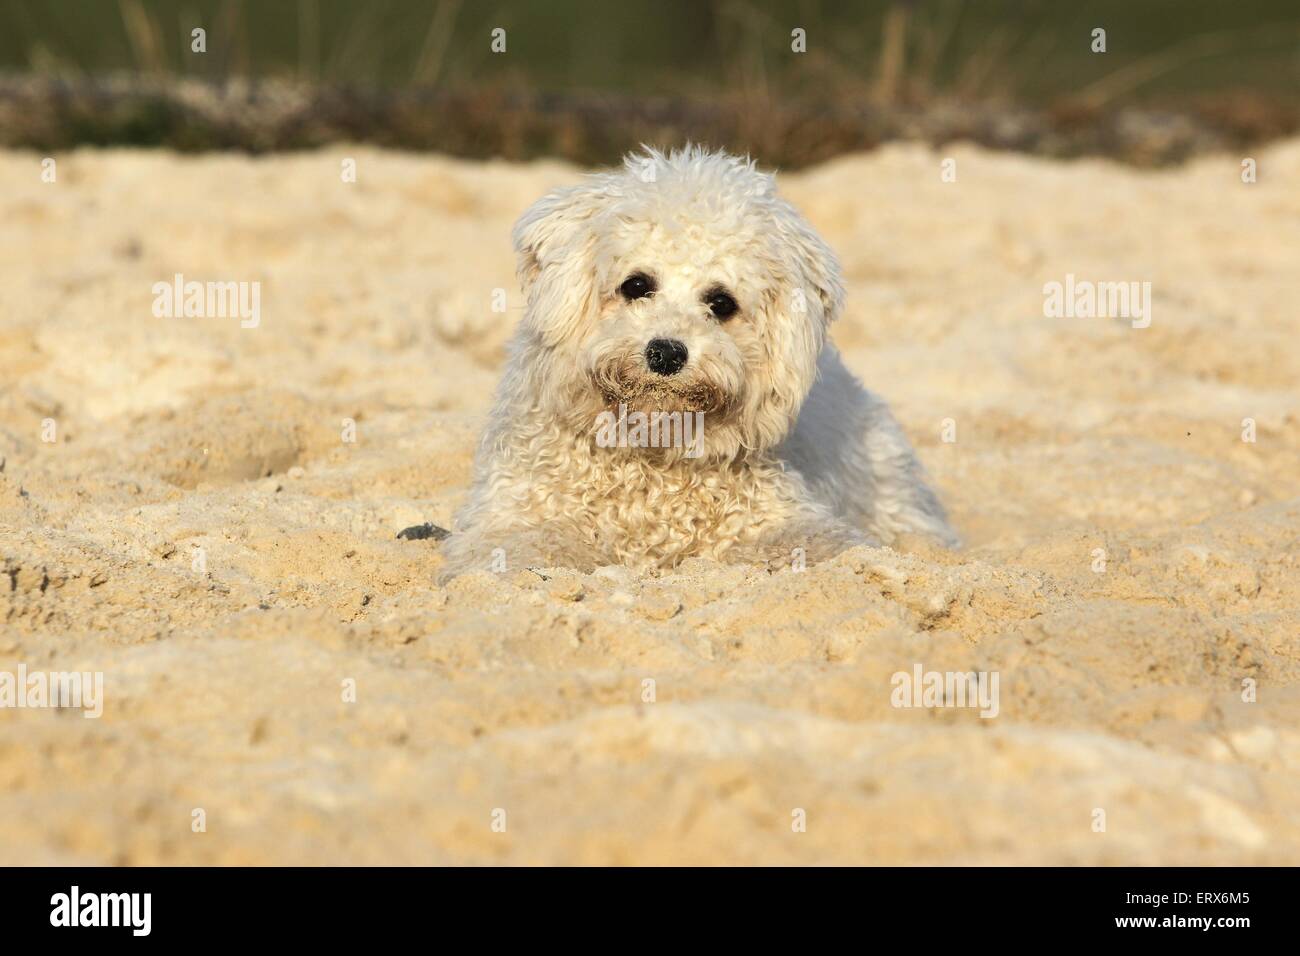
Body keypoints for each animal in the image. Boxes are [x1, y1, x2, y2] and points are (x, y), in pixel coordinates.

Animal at [441, 145, 961, 580]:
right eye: (636, 285)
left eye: (721, 303)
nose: (667, 352)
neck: (652, 454)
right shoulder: (515, 514)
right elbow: (523, 550)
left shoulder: (784, 519)